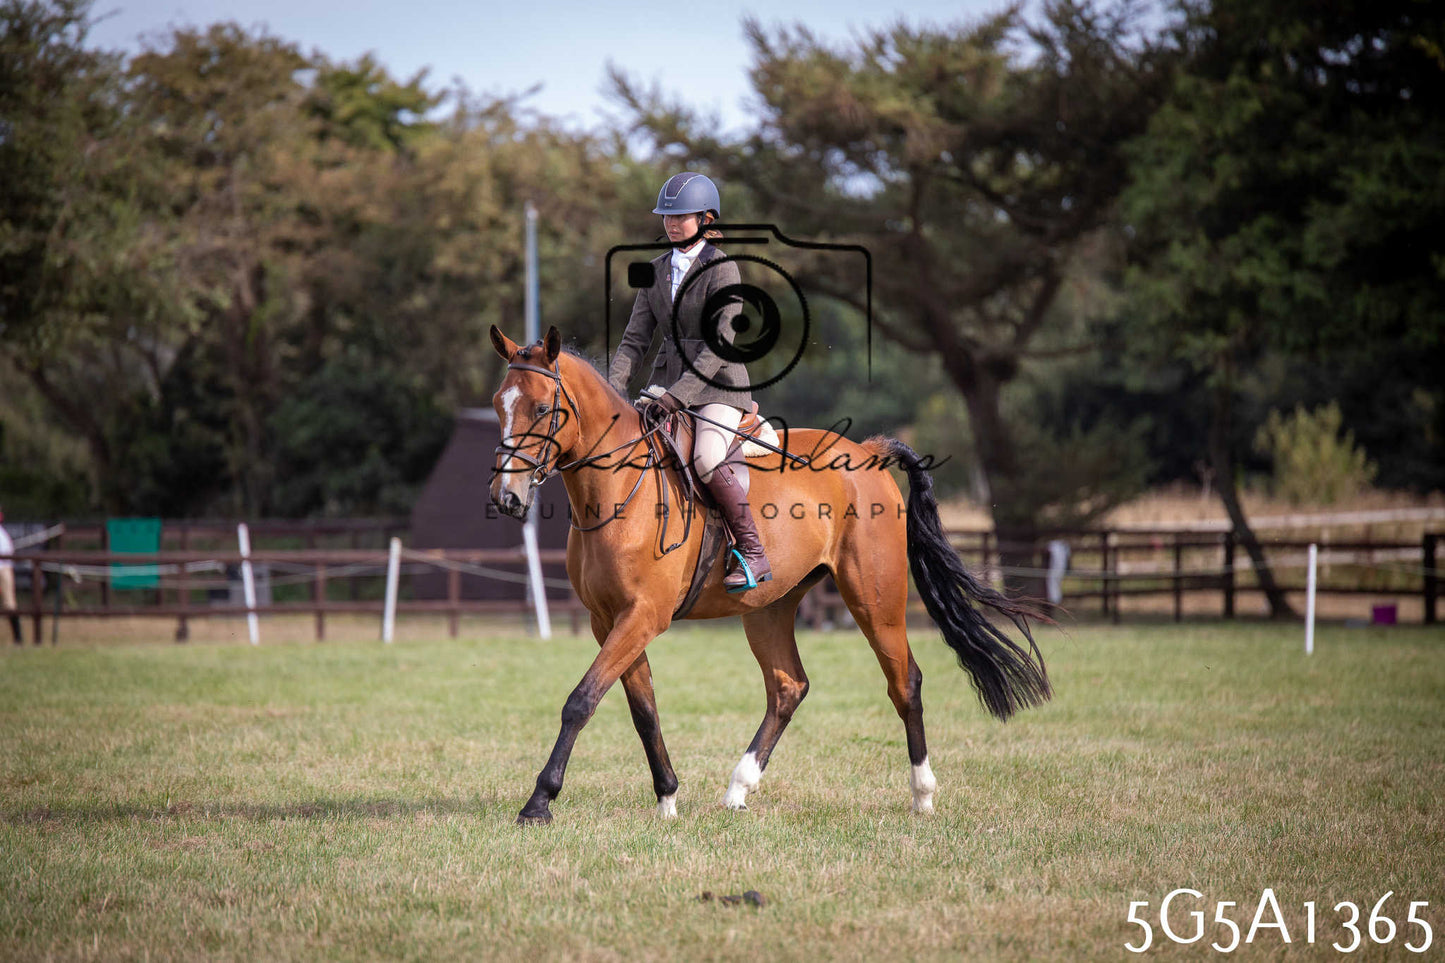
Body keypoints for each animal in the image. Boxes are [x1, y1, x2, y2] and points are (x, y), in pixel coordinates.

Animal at [488, 325, 1051, 825]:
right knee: (787, 687)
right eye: (498, 404)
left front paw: (539, 802)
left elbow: (581, 701)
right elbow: (641, 708)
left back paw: (922, 795)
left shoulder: (643, 615)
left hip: (875, 601)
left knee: (904, 682)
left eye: (543, 409)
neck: (619, 489)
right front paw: (667, 799)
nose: (505, 498)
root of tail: (865, 452)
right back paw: (738, 789)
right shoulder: (609, 620)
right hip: (769, 607)